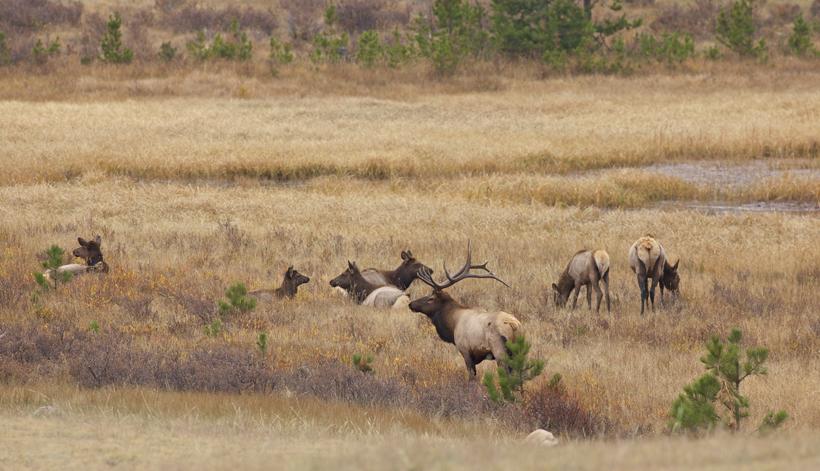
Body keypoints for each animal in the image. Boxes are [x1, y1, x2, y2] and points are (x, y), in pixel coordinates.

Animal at [408, 242, 521, 377]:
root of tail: (513, 325)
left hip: (499, 350)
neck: (452, 325)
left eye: (431, 298)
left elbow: (471, 376)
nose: (411, 304)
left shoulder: (465, 350)